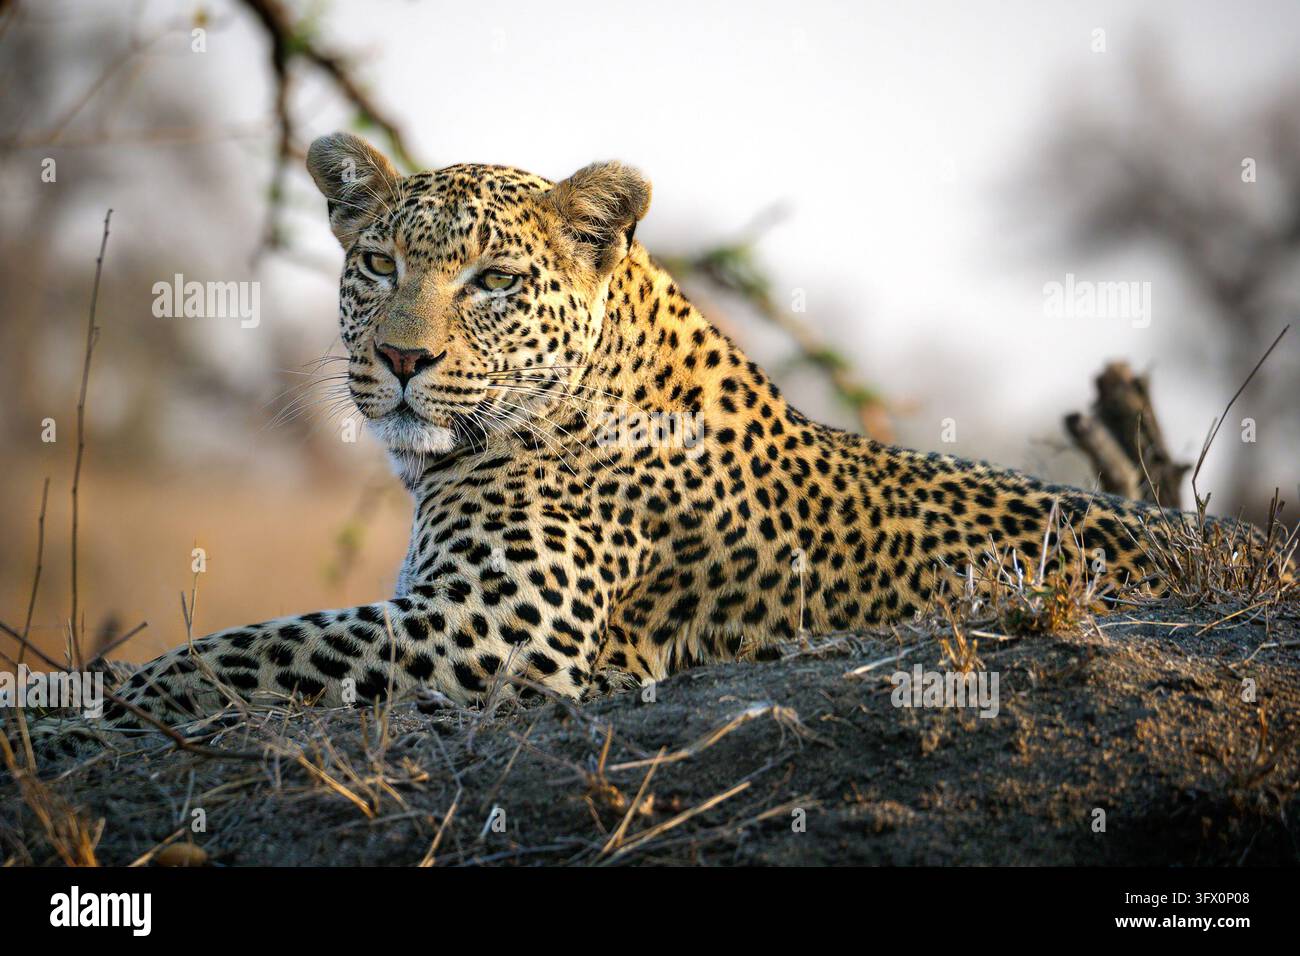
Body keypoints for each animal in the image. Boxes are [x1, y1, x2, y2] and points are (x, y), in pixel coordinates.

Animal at [11, 132, 1262, 757]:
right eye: (377, 262)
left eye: (491, 280)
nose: (402, 359)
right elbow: (253, 644)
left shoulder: (493, 631)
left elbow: (243, 648)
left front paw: (71, 700)